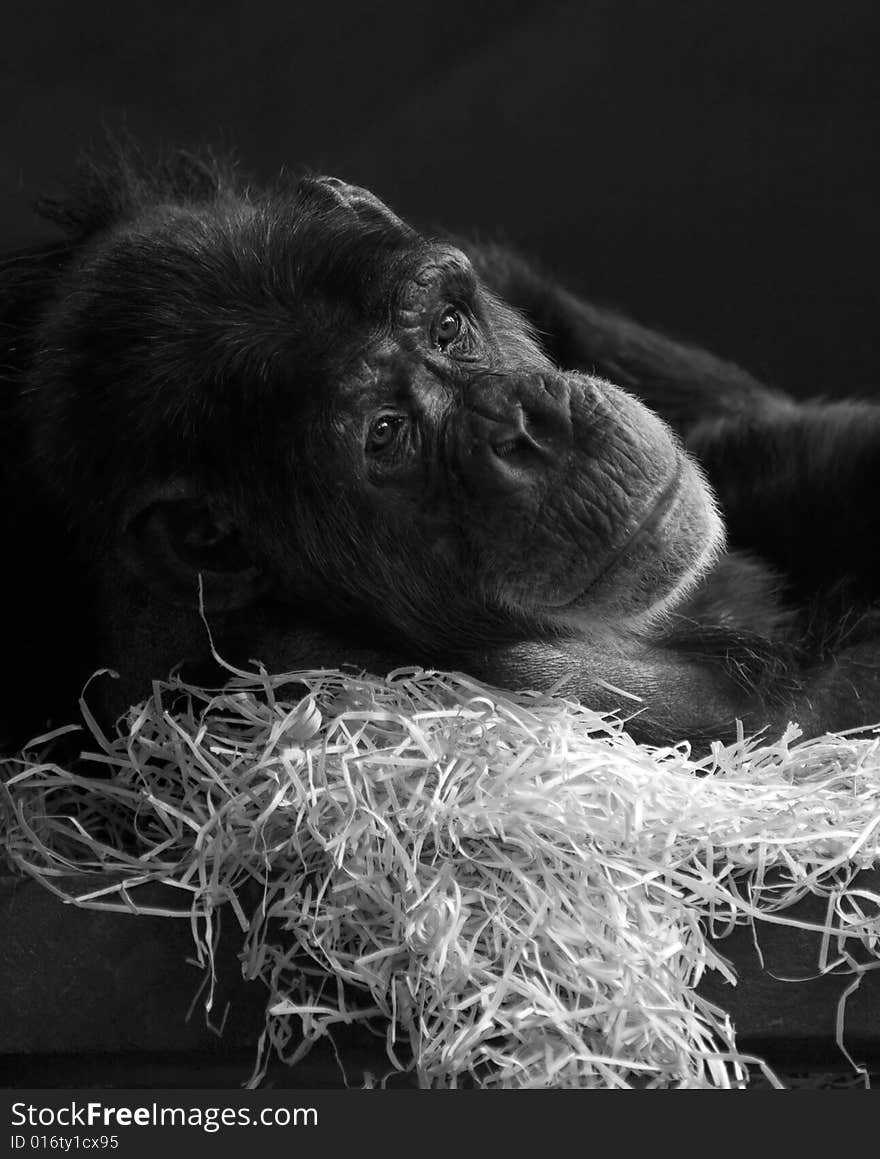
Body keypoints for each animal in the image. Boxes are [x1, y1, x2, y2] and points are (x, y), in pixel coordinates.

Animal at [1, 149, 880, 751]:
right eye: (388, 433)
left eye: (447, 327)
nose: (530, 427)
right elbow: (810, 709)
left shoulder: (499, 271)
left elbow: (755, 429)